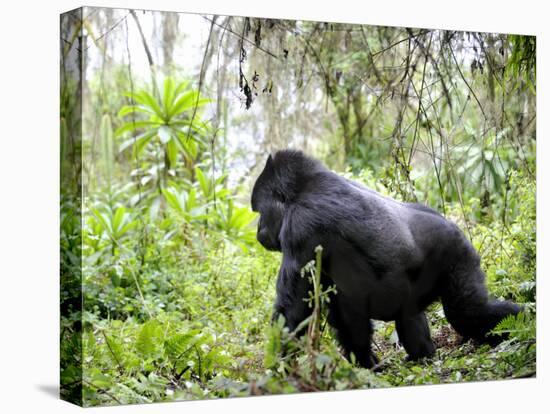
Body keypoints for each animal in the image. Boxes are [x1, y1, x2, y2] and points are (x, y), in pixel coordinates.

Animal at [252, 150, 524, 368]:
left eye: (260, 211)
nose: (258, 231)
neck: (302, 189)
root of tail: (452, 226)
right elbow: (343, 312)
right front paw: (365, 363)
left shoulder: (299, 227)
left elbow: (293, 311)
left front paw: (276, 369)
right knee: (414, 315)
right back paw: (423, 355)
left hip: (456, 253)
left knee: (468, 313)